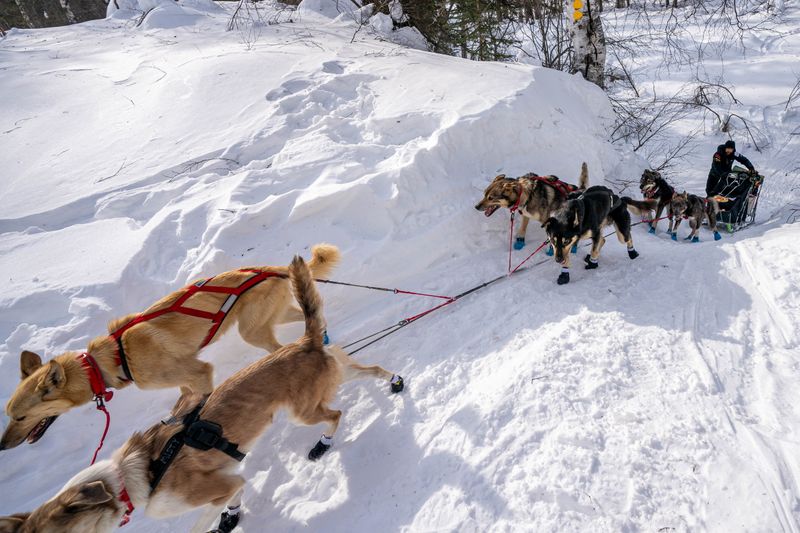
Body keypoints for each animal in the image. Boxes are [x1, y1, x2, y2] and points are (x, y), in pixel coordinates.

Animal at [0, 244, 340, 448]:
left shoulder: (200, 372)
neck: (112, 359)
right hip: (270, 318)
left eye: (19, 417)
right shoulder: (185, 379)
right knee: (309, 315)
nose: (2, 445)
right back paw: (324, 337)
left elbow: (198, 403)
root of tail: (274, 268)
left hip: (252, 331)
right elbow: (183, 401)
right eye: (9, 414)